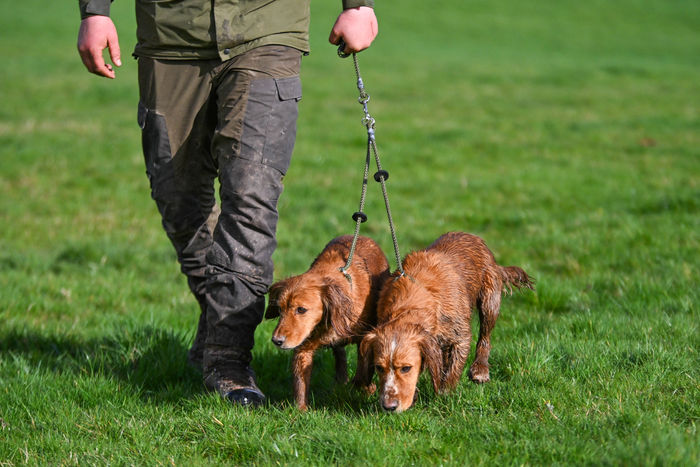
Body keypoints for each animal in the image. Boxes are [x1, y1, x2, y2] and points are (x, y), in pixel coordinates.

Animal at [266, 236, 392, 412]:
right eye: (279, 309)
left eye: (301, 309)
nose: (277, 341)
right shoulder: (303, 347)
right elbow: (300, 380)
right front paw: (300, 410)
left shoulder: (366, 336)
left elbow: (363, 369)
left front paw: (365, 388)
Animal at [358, 231, 532, 414]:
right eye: (379, 367)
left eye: (406, 368)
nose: (388, 407)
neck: (409, 304)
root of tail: (471, 235)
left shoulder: (460, 336)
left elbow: (453, 370)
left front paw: (444, 394)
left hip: (490, 299)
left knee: (485, 336)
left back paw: (480, 370)